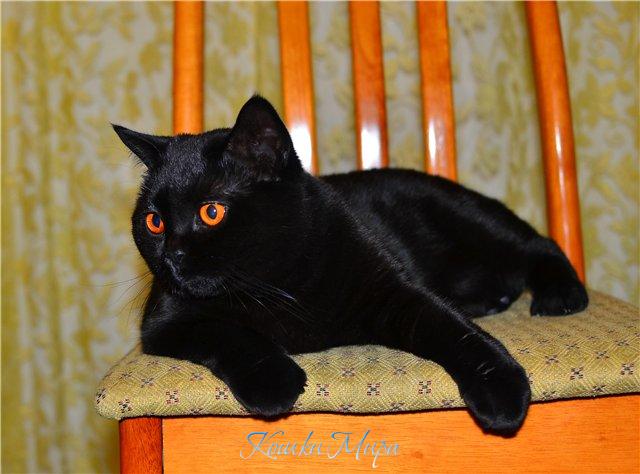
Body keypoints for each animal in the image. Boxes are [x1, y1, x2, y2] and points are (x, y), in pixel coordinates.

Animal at [113, 95, 588, 435]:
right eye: (153, 222)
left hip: (475, 221)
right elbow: (227, 331)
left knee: (538, 245)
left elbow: (455, 330)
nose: (172, 255)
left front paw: (502, 390)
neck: (274, 281)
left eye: (211, 212)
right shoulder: (165, 322)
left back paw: (561, 297)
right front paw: (274, 381)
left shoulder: (394, 291)